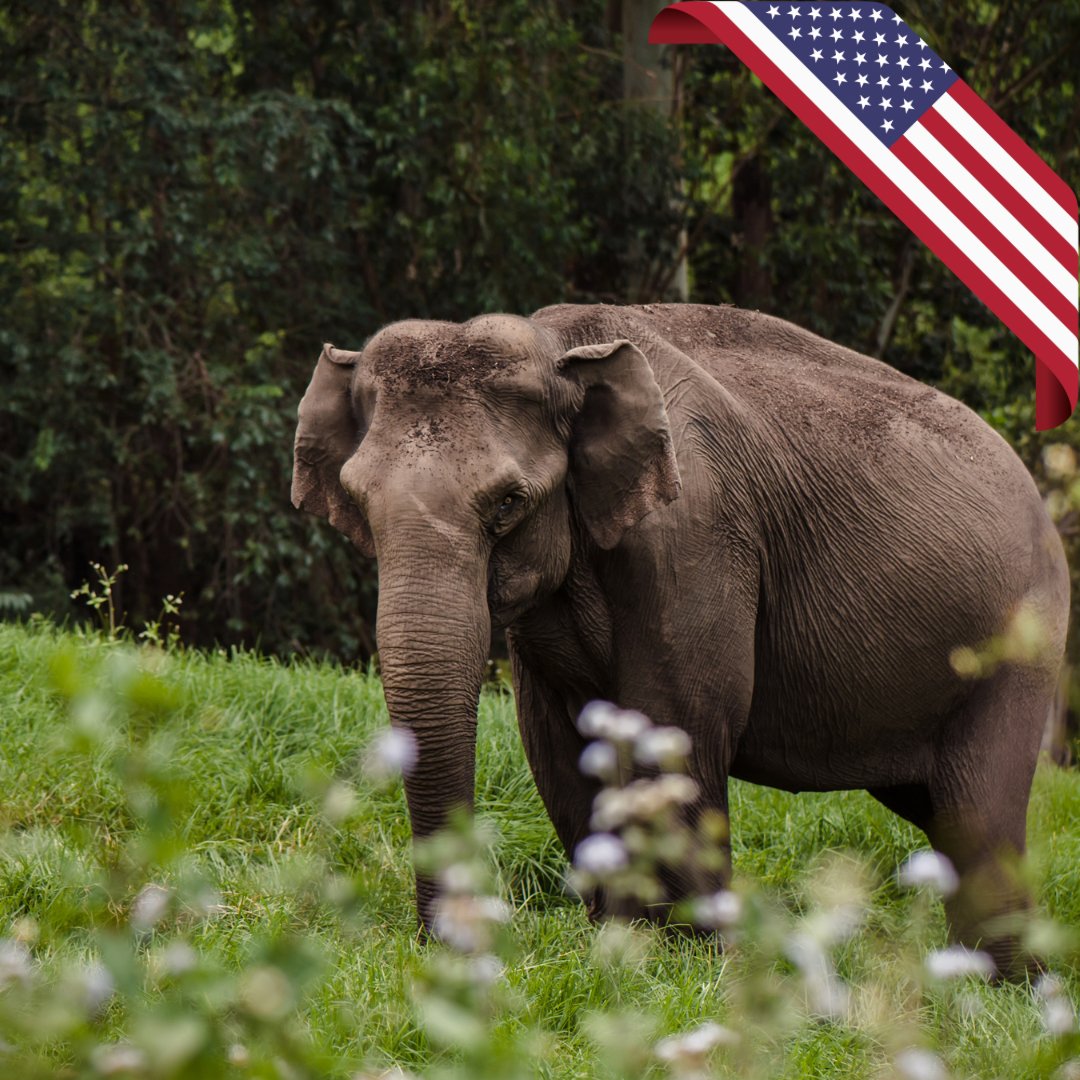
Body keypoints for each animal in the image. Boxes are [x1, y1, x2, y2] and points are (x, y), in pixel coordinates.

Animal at [292, 303, 1068, 974]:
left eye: (509, 503)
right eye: (356, 502)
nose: (441, 948)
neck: (559, 344)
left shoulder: (696, 535)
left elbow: (675, 724)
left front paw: (684, 964)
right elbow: (560, 744)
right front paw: (620, 947)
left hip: (1020, 645)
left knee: (976, 813)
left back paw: (997, 990)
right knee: (936, 809)